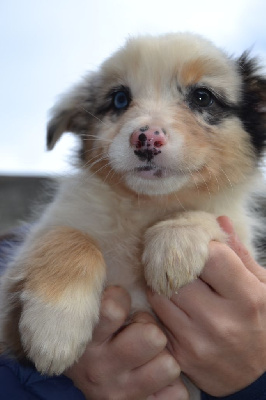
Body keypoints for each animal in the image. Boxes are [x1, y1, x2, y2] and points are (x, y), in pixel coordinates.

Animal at [0, 32, 266, 398]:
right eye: (120, 99)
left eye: (202, 96)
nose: (146, 138)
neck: (145, 207)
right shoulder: (8, 315)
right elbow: (71, 234)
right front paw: (55, 332)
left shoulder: (234, 228)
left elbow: (209, 215)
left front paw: (174, 247)